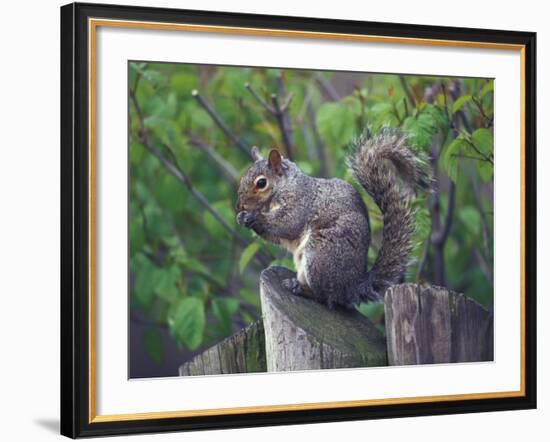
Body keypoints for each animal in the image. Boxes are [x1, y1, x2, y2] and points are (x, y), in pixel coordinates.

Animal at [235, 128, 434, 308]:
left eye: (261, 183)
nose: (239, 205)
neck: (285, 186)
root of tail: (353, 287)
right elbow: (277, 236)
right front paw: (242, 218)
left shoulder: (300, 203)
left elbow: (287, 224)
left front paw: (254, 217)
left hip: (320, 254)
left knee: (325, 297)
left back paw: (300, 288)